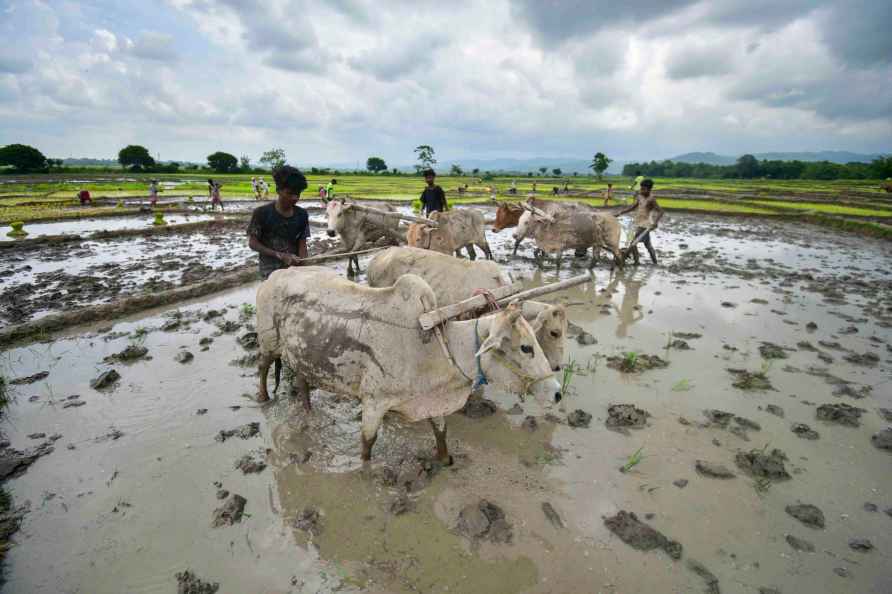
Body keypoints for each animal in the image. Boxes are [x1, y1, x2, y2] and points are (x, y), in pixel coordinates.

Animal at [254, 266, 560, 460]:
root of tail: (273, 276)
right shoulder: (374, 402)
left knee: (302, 379)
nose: (557, 392)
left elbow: (441, 434)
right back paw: (263, 397)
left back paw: (306, 409)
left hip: (302, 355)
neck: (432, 348)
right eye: (526, 347)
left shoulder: (432, 401)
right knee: (263, 367)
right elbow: (367, 446)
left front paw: (444, 462)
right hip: (269, 343)